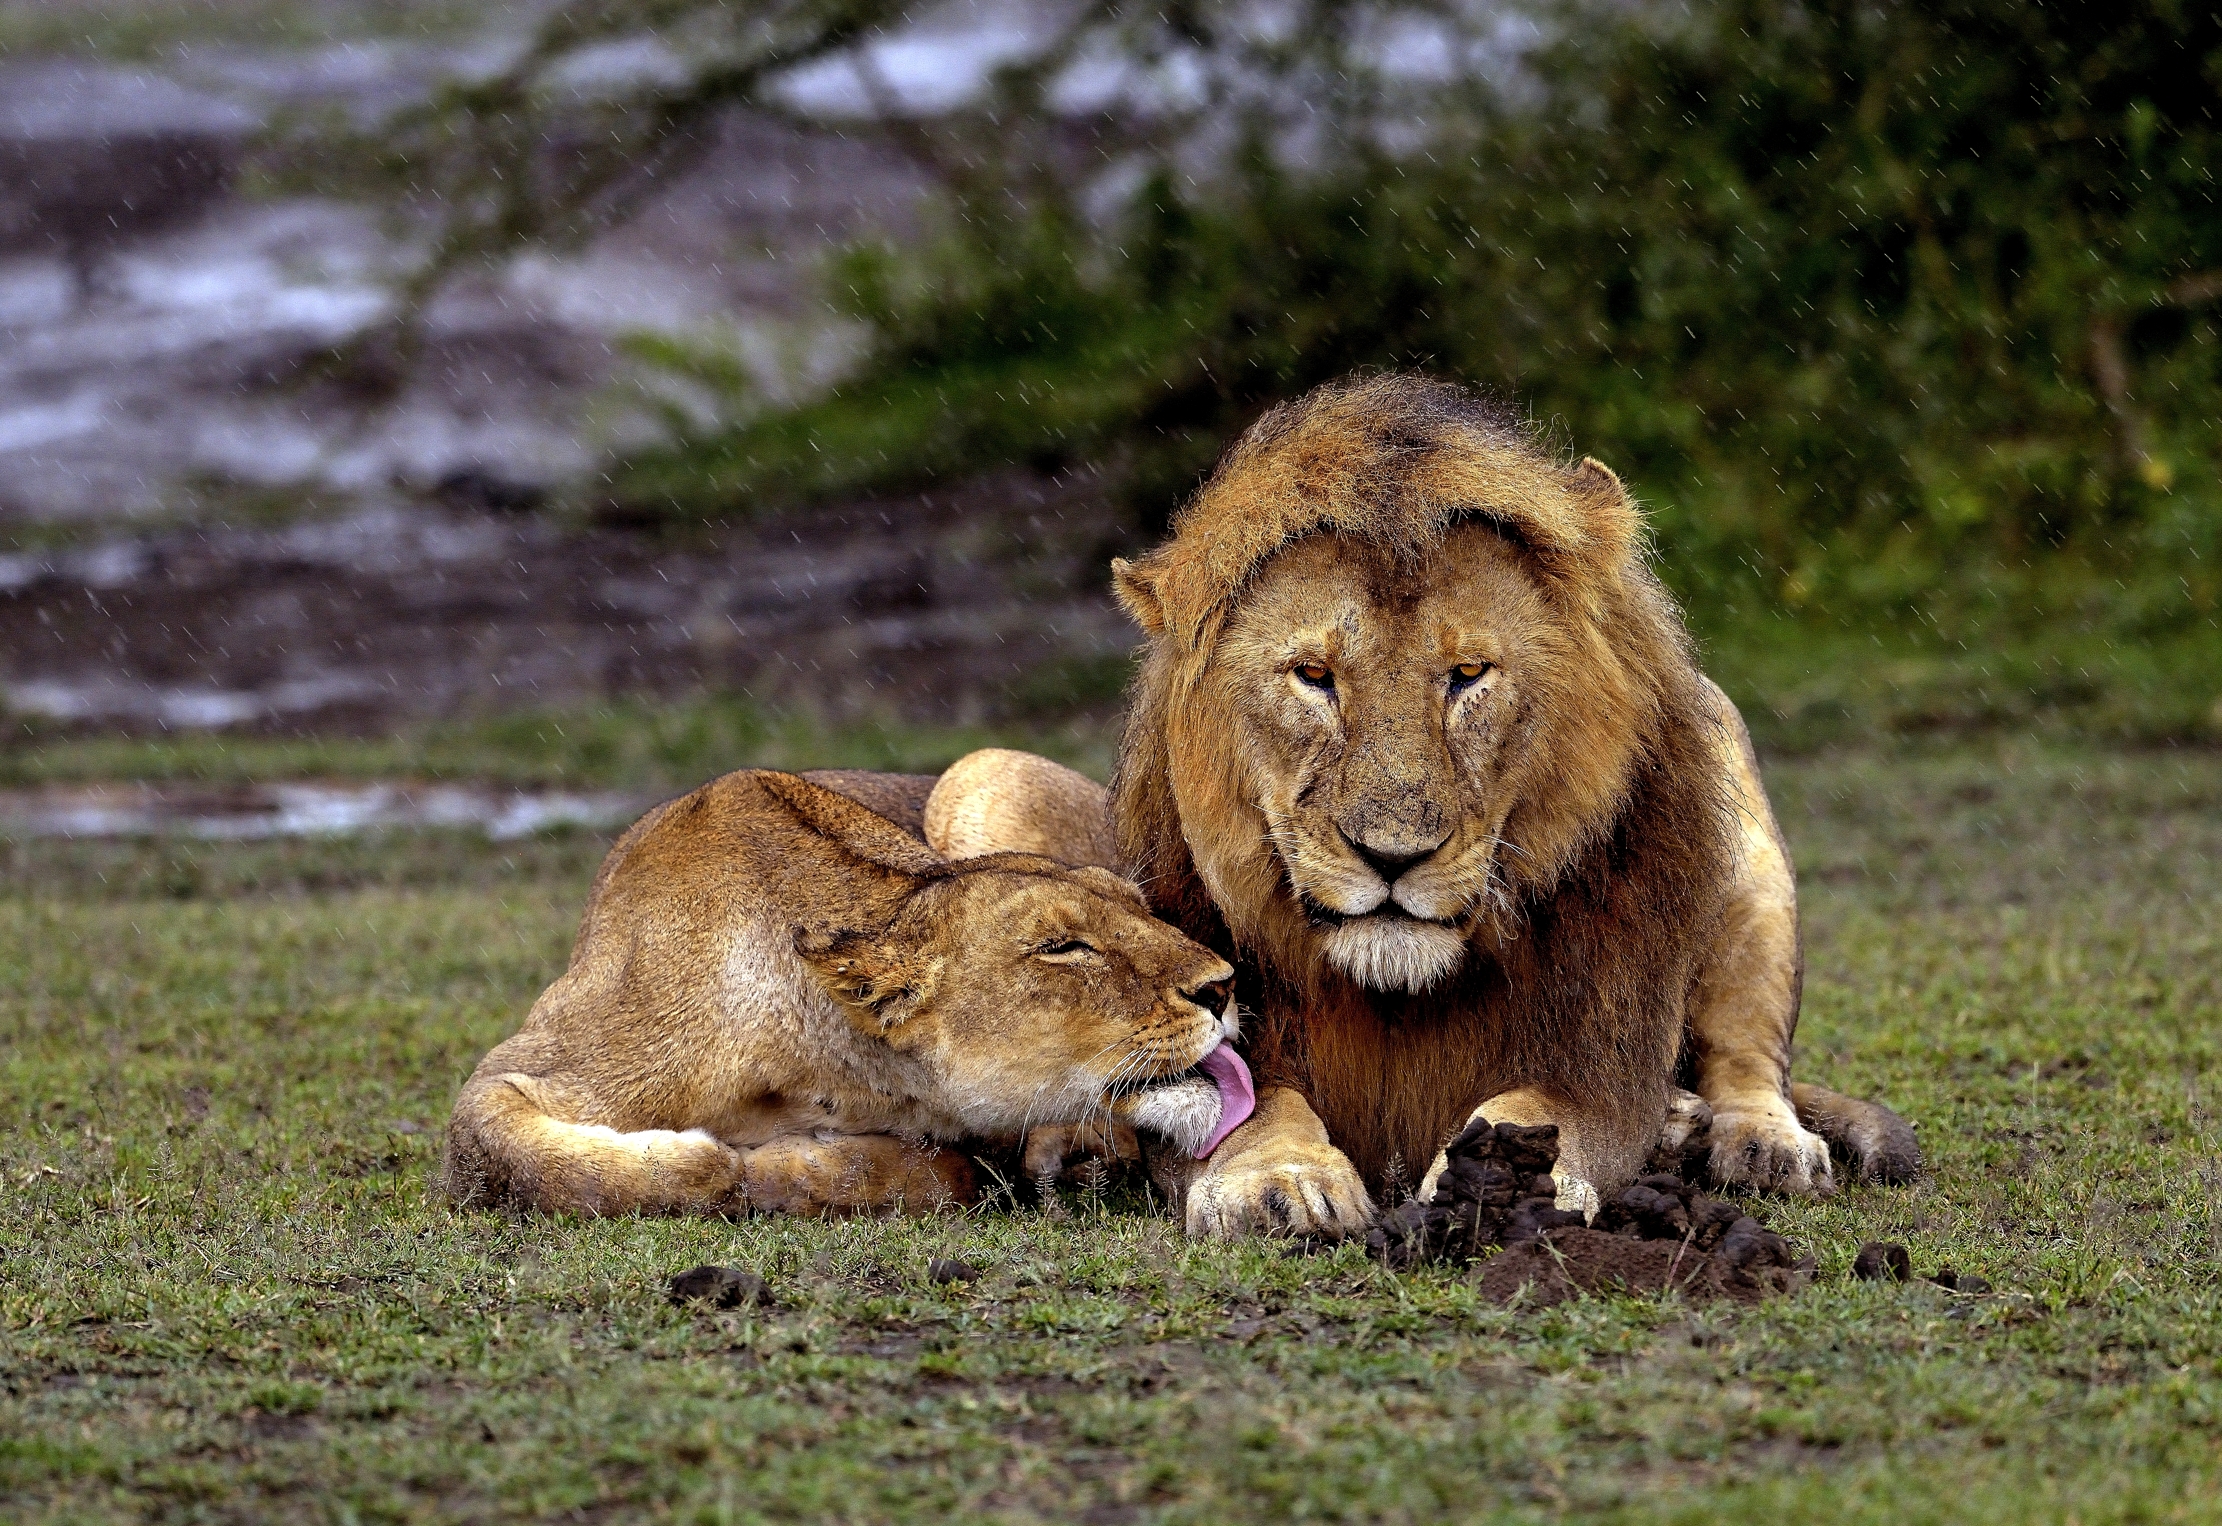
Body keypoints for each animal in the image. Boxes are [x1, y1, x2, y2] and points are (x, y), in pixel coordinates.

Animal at [440, 768, 1256, 1217]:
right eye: (1064, 948)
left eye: (1141, 909)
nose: (1223, 985)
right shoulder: (528, 1063)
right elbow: (531, 1161)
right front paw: (716, 1162)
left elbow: (931, 1171)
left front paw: (774, 1169)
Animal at [921, 374, 1916, 1237]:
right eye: (1314, 675)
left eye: (1468, 673)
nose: (1393, 858)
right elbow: (1251, 1108)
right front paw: (1280, 1184)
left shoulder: (1599, 1059)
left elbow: (1539, 1105)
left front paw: (1504, 1180)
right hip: (984, 775)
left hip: (1739, 810)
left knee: (1749, 1060)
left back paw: (1752, 1141)